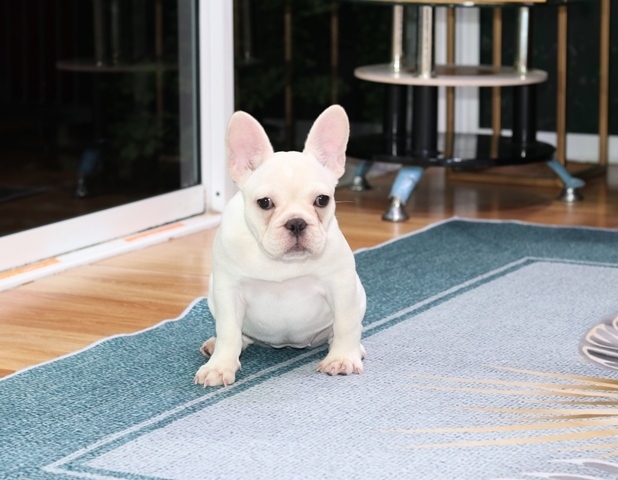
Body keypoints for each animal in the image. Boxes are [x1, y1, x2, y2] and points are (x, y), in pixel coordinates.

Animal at [194, 105, 366, 387]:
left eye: (322, 200)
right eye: (264, 202)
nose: (296, 222)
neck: (281, 261)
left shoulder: (340, 284)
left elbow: (345, 324)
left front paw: (342, 358)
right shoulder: (228, 289)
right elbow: (229, 330)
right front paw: (220, 366)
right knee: (237, 334)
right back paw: (215, 345)